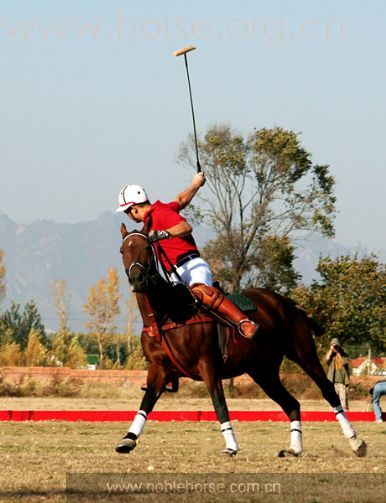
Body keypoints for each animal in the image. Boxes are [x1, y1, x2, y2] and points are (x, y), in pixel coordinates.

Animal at [116, 226, 366, 458]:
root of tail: (290, 304)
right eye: (122, 250)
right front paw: (128, 440)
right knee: (292, 403)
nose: (137, 279)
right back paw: (295, 449)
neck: (166, 314)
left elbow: (219, 403)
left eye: (147, 247)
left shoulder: (208, 365)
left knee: (328, 391)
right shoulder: (158, 369)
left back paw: (356, 442)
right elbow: (146, 402)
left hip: (303, 353)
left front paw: (231, 446)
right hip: (263, 371)